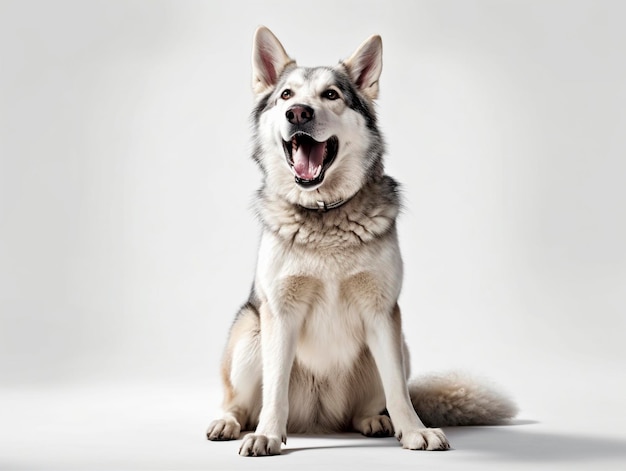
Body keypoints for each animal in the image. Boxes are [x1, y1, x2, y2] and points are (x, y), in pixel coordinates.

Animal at [207, 26, 516, 458]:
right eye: (286, 95)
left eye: (330, 94)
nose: (298, 113)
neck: (324, 214)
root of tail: (317, 421)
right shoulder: (280, 312)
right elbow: (274, 390)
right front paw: (267, 435)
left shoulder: (382, 312)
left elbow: (398, 391)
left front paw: (414, 431)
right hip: (251, 334)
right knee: (241, 401)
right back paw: (230, 422)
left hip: (397, 345)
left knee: (377, 399)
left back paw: (375, 421)